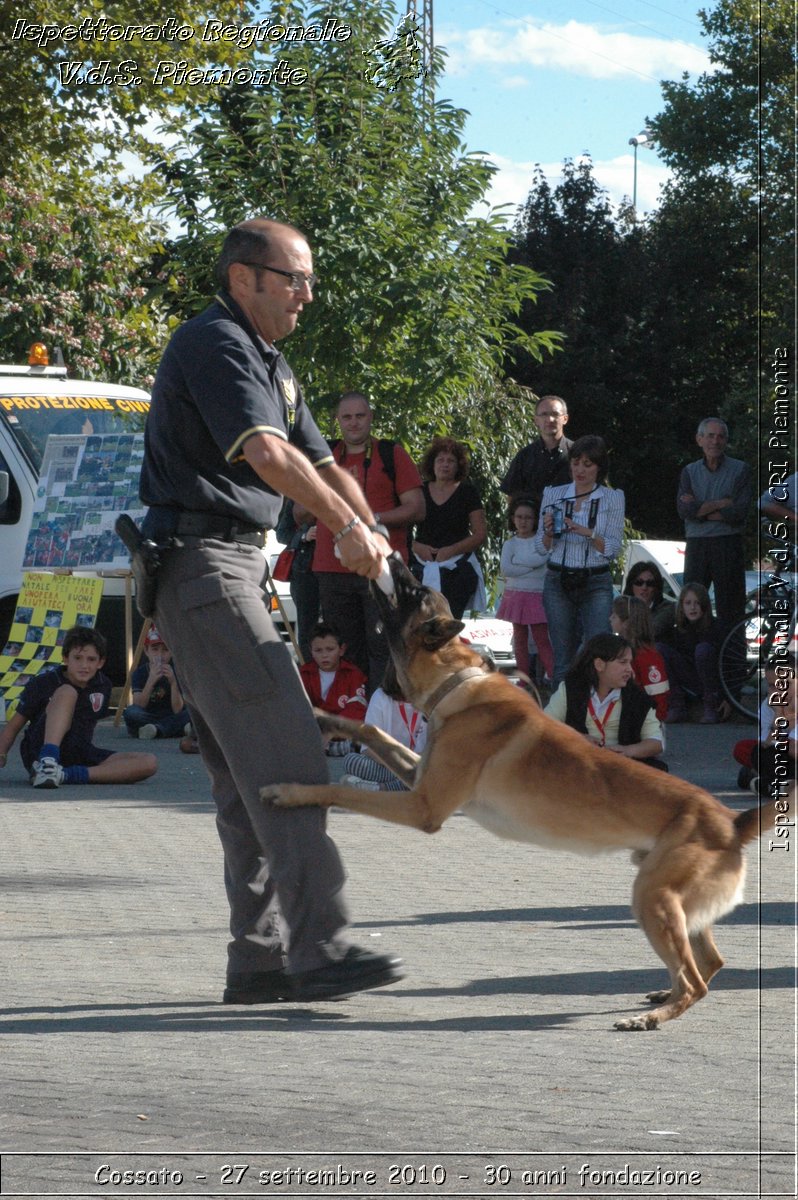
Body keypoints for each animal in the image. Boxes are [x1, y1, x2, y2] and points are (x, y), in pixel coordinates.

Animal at [262, 556, 777, 1027]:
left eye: (414, 592)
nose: (392, 557)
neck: (456, 681)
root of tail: (730, 823)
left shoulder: (422, 806)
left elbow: (341, 790)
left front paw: (291, 792)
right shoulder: (419, 779)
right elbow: (369, 728)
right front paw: (326, 718)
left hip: (652, 899)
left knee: (696, 981)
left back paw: (653, 1015)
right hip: (672, 903)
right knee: (708, 964)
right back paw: (661, 995)